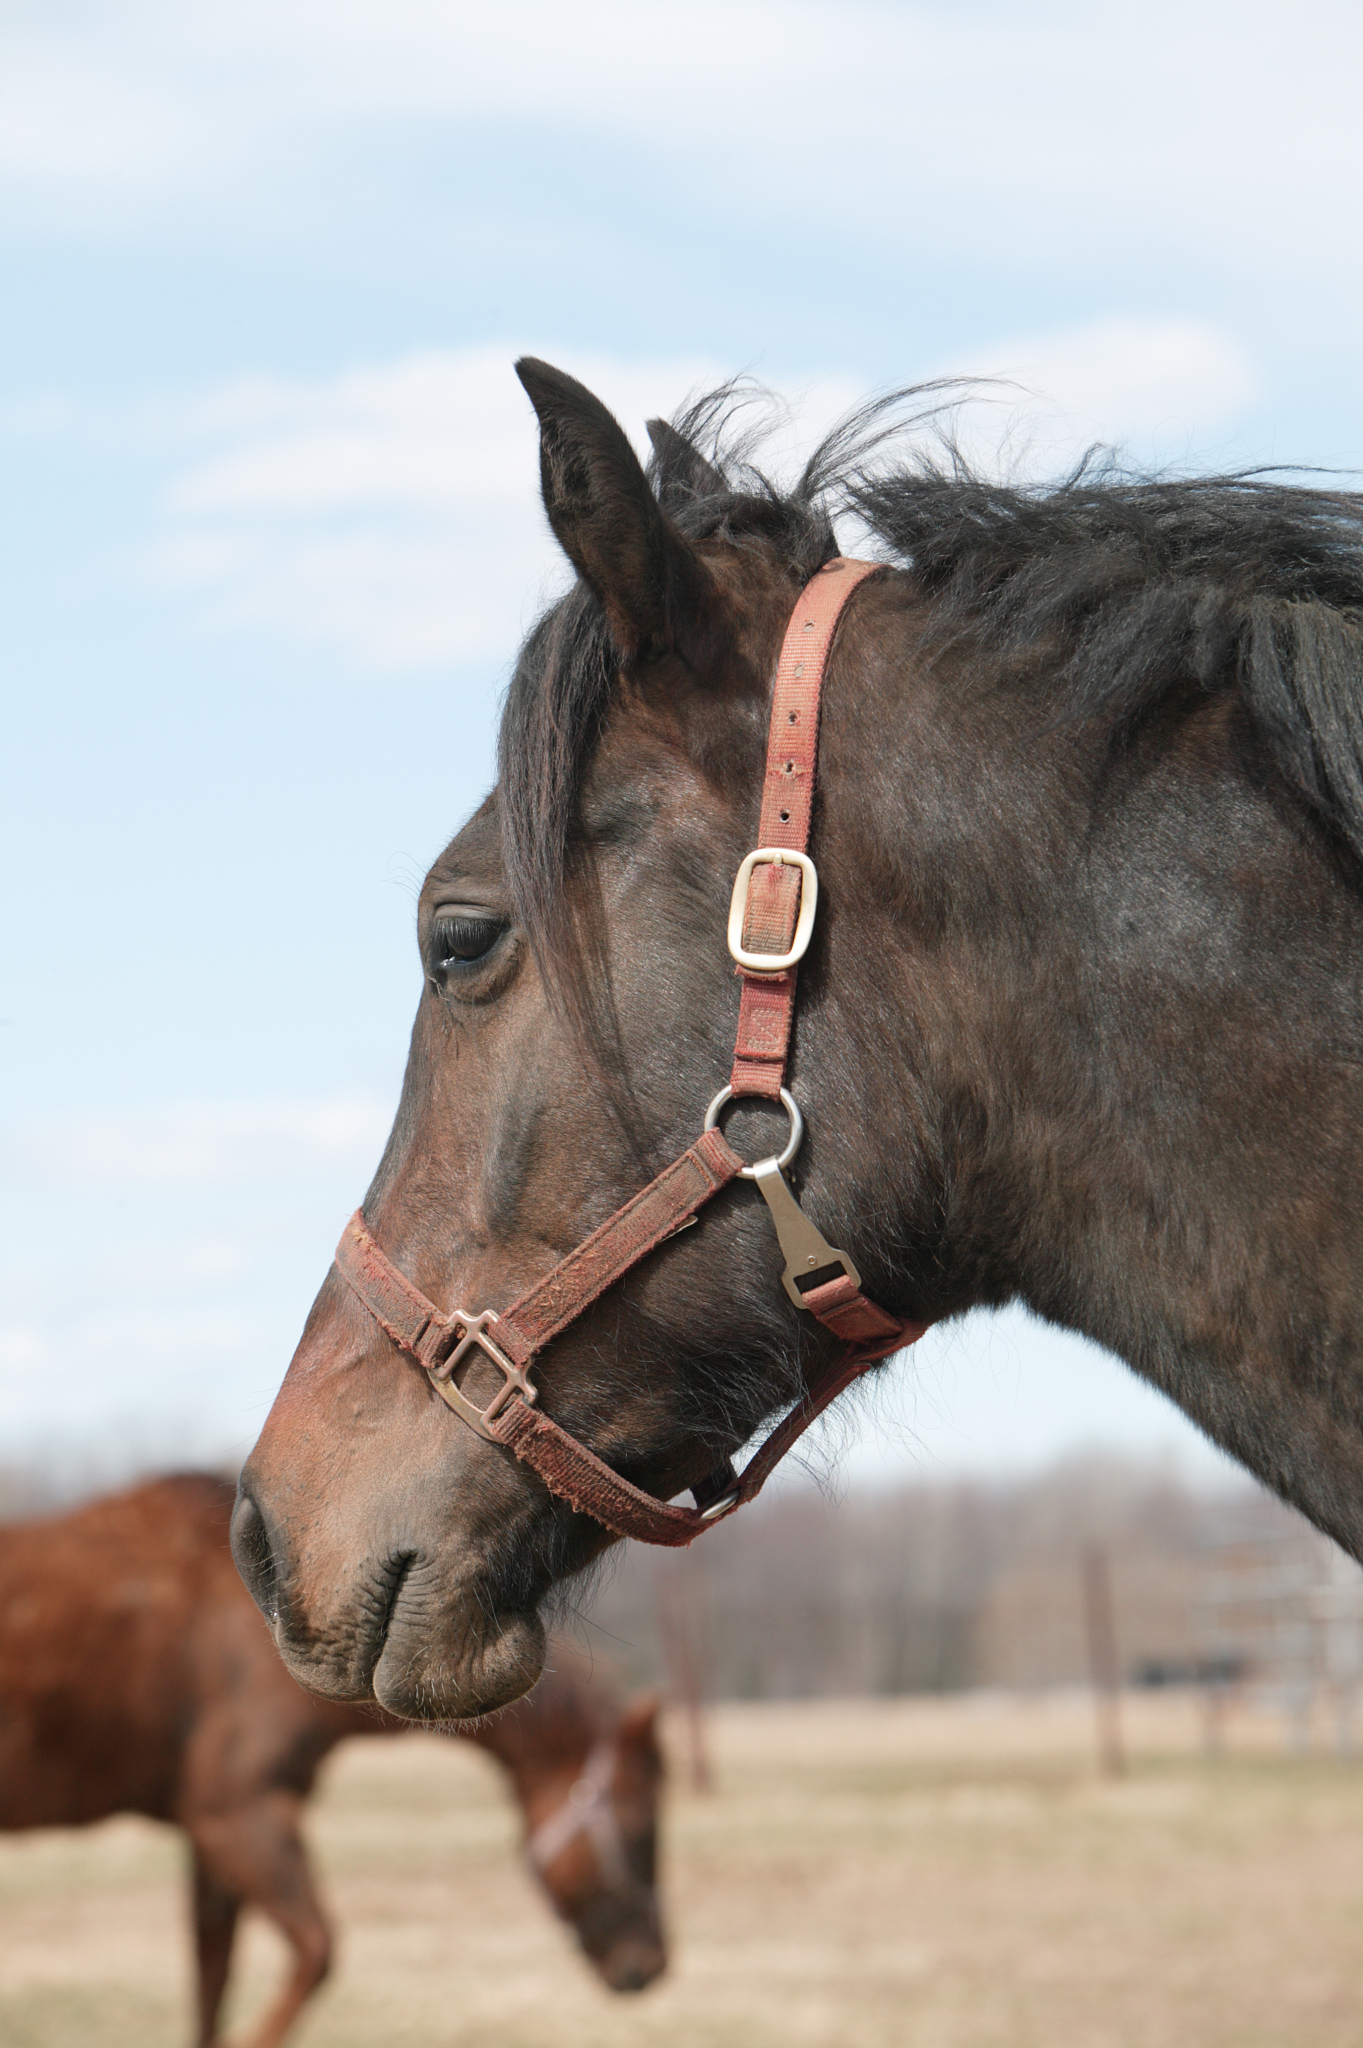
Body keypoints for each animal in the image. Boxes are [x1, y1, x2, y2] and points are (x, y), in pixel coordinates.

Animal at [0, 1473, 666, 2047]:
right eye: (639, 1825)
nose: (649, 1966)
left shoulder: (210, 1840)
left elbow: (212, 1986)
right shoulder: (239, 1817)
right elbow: (316, 1953)